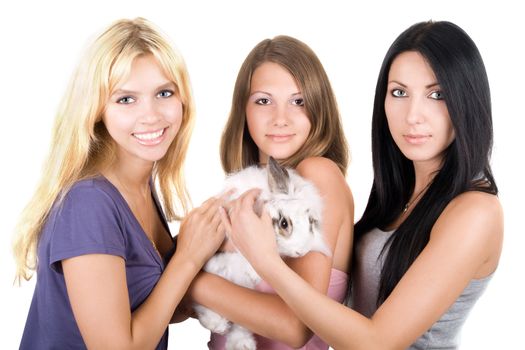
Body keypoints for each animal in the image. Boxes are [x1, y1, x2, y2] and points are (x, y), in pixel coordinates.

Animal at [194, 158, 330, 350]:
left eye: (310, 222)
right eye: (283, 223)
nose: (301, 252)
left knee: (240, 320)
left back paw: (242, 344)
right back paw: (217, 324)